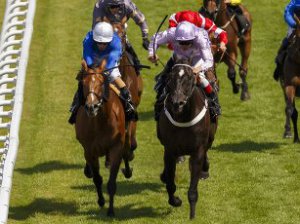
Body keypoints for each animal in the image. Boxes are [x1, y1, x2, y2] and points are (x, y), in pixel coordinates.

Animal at [74, 59, 132, 217]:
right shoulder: (90, 150)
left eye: (101, 83)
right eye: (83, 83)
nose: (91, 107)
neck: (101, 121)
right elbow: (97, 179)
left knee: (127, 151)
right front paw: (101, 201)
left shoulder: (116, 148)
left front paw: (111, 211)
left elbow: (111, 182)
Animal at [157, 62, 218, 220]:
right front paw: (176, 201)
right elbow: (170, 183)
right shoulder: (170, 149)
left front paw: (192, 215)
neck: (183, 117)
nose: (177, 103)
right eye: (170, 78)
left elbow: (192, 190)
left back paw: (205, 170)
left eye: (190, 78)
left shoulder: (198, 150)